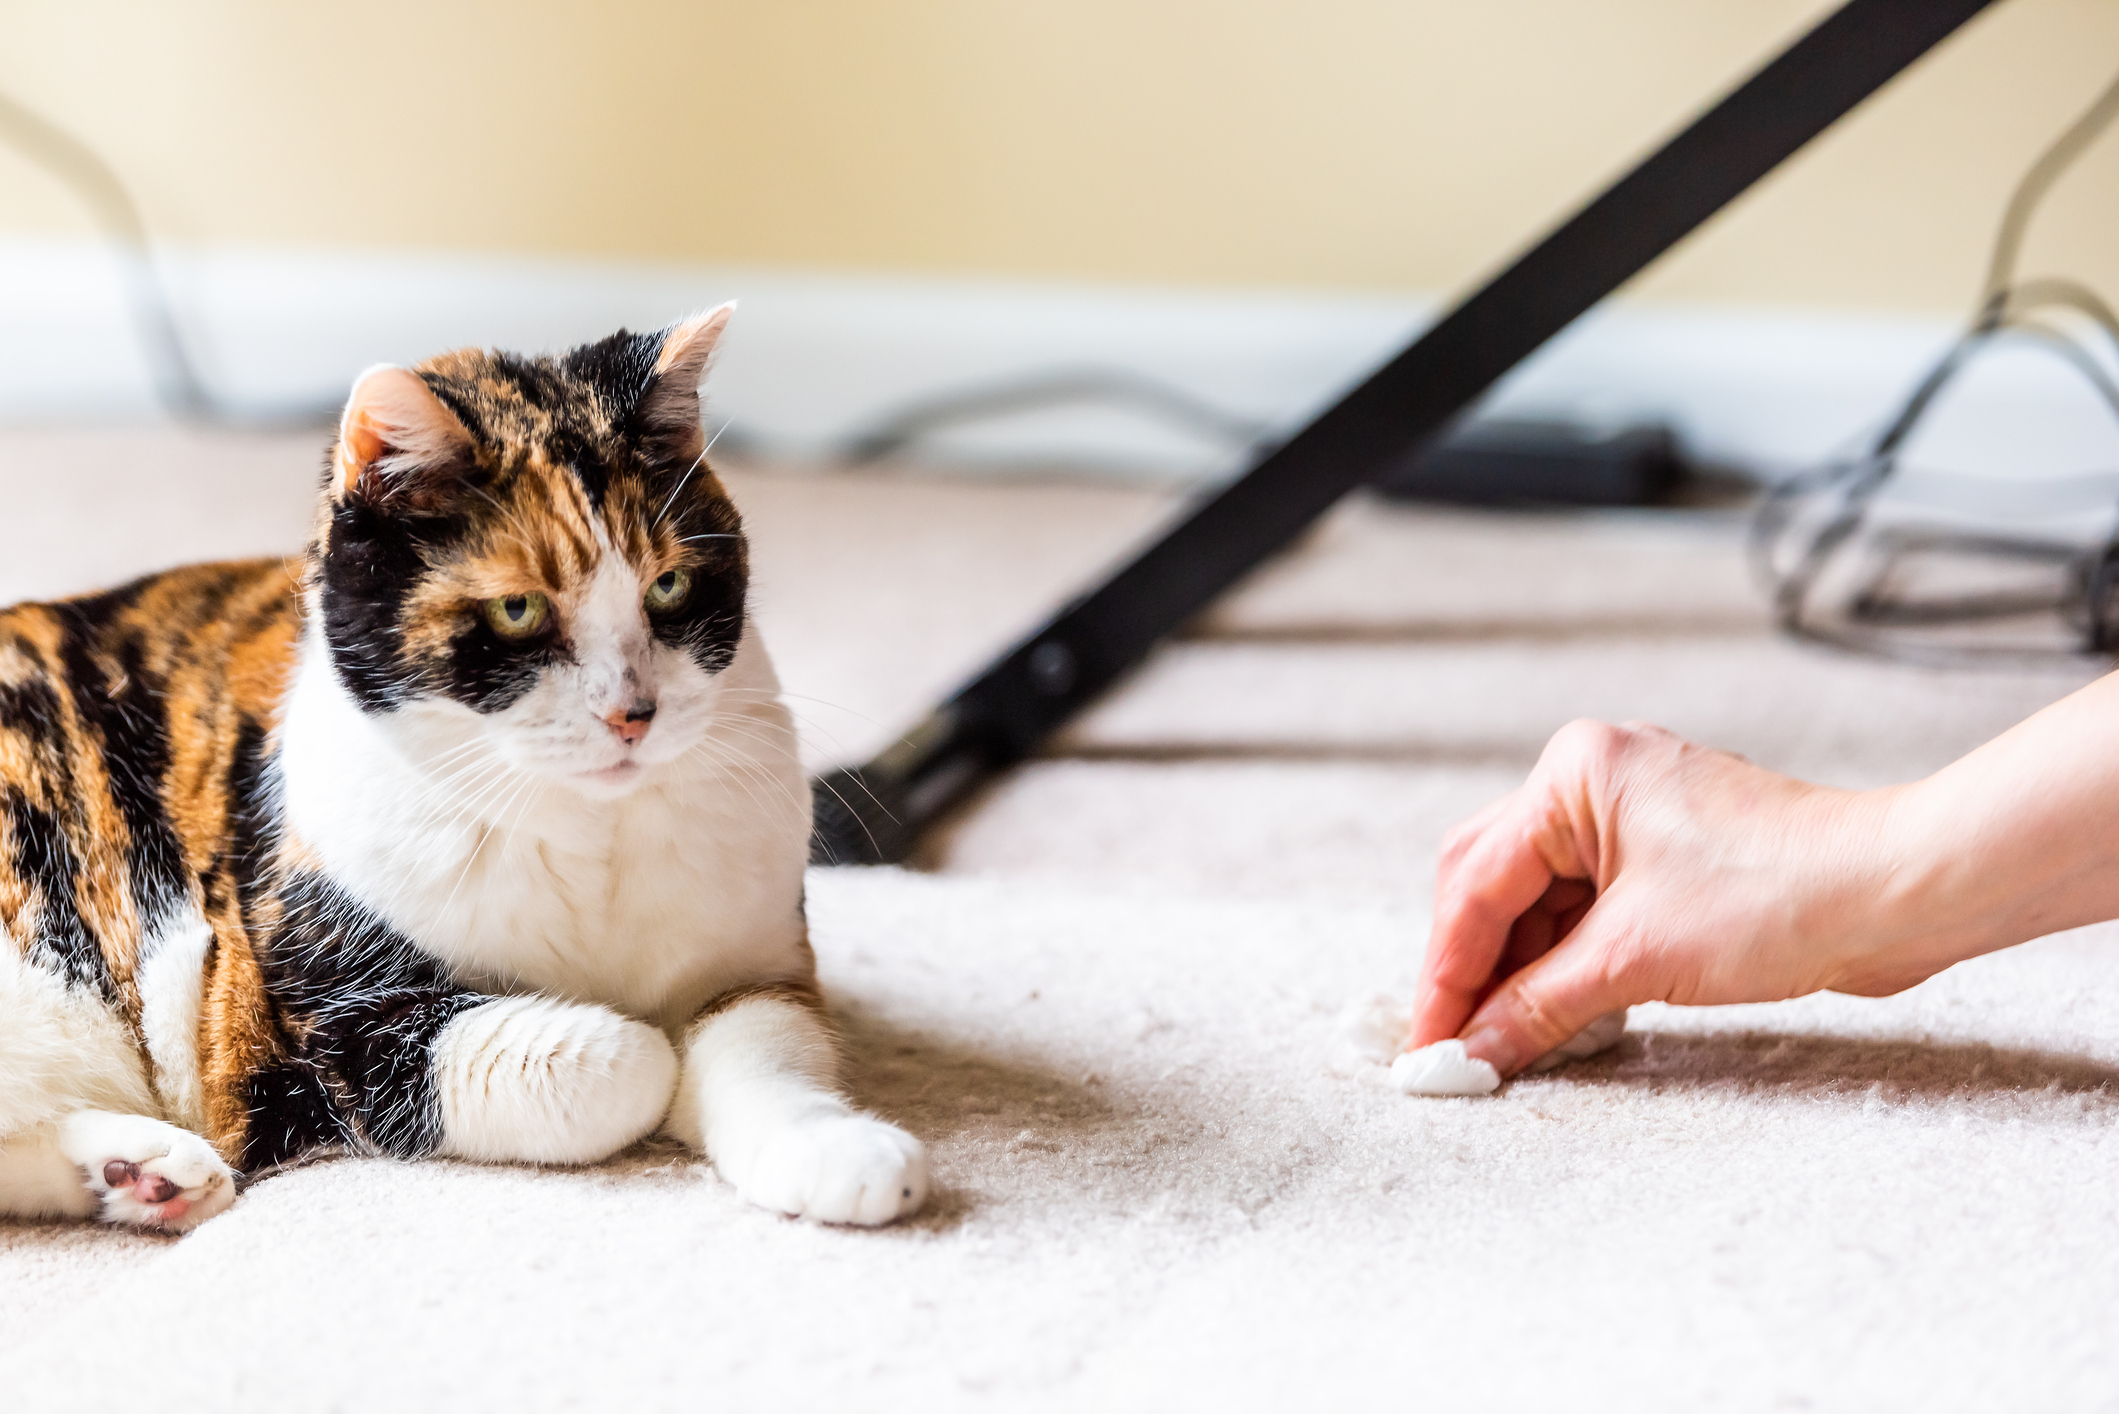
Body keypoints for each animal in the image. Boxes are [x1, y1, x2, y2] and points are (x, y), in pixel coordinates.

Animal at [0, 307, 928, 1229]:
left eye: (668, 588)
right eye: (517, 609)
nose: (633, 714)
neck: (591, 835)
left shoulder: (757, 964)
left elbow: (766, 1047)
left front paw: (839, 1152)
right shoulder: (323, 1027)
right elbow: (628, 1059)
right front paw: (654, 1063)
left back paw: (144, 1173)